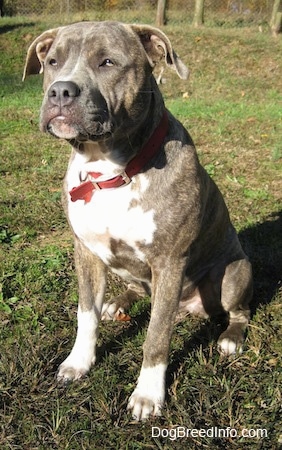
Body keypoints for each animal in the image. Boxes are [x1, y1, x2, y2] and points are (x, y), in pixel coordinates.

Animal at [23, 22, 252, 422]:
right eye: (52, 61)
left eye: (108, 62)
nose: (60, 90)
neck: (109, 170)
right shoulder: (85, 252)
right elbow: (86, 315)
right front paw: (79, 362)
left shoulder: (169, 262)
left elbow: (156, 336)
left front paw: (148, 394)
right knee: (134, 290)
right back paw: (119, 302)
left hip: (234, 273)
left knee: (241, 310)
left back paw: (230, 337)